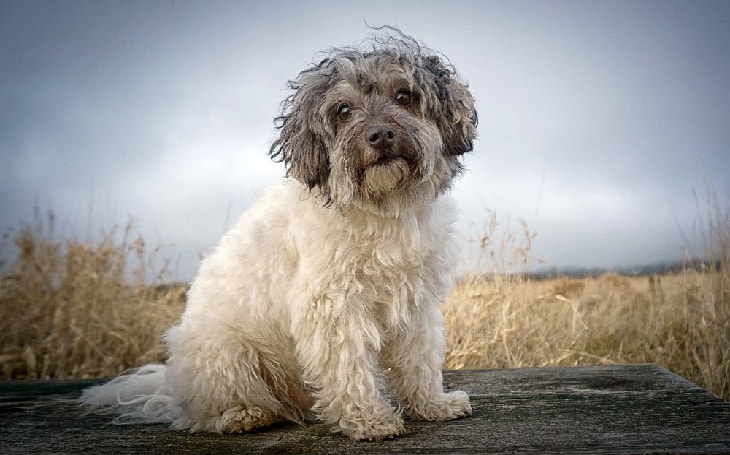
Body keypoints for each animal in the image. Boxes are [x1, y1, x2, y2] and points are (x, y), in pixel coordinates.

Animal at [81, 28, 478, 442]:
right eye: (343, 111)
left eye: (404, 95)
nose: (381, 135)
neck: (382, 210)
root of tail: (172, 388)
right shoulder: (332, 307)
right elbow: (350, 370)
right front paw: (369, 419)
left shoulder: (415, 303)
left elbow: (420, 360)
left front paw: (432, 405)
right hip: (228, 353)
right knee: (208, 412)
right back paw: (245, 415)